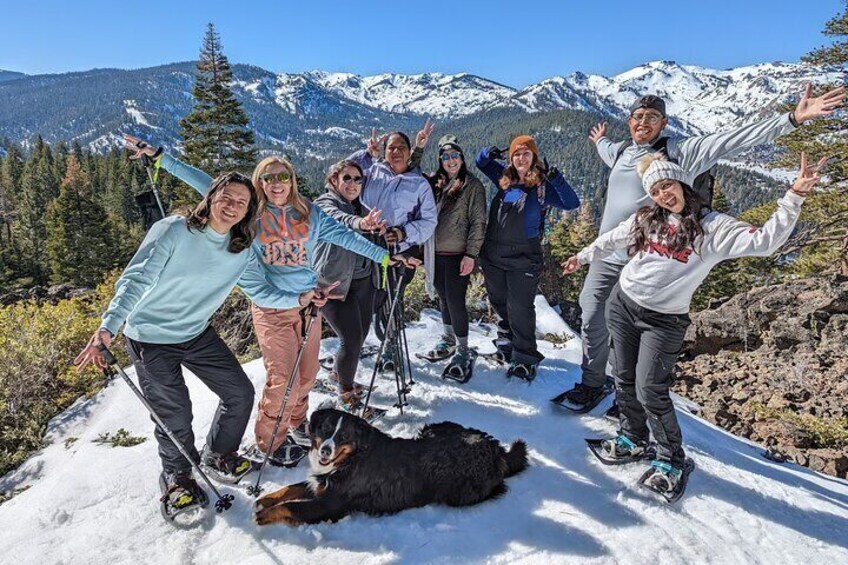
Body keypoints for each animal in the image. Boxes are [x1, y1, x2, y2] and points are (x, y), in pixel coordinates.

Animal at [255, 410, 528, 524]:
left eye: (343, 436)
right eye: (325, 430)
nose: (325, 451)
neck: (352, 458)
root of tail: (495, 450)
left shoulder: (330, 504)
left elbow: (292, 506)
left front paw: (265, 514)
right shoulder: (321, 482)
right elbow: (290, 489)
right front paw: (265, 499)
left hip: (459, 492)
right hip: (432, 428)